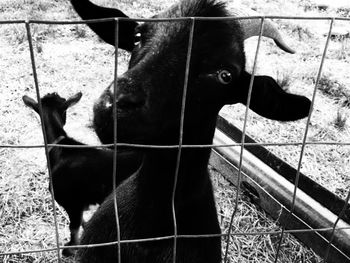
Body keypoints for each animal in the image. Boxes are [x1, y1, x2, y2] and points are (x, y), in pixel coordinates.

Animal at [21, 93, 142, 258]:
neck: (61, 149)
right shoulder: (81, 204)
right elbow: (83, 223)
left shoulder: (72, 203)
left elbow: (74, 228)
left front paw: (69, 250)